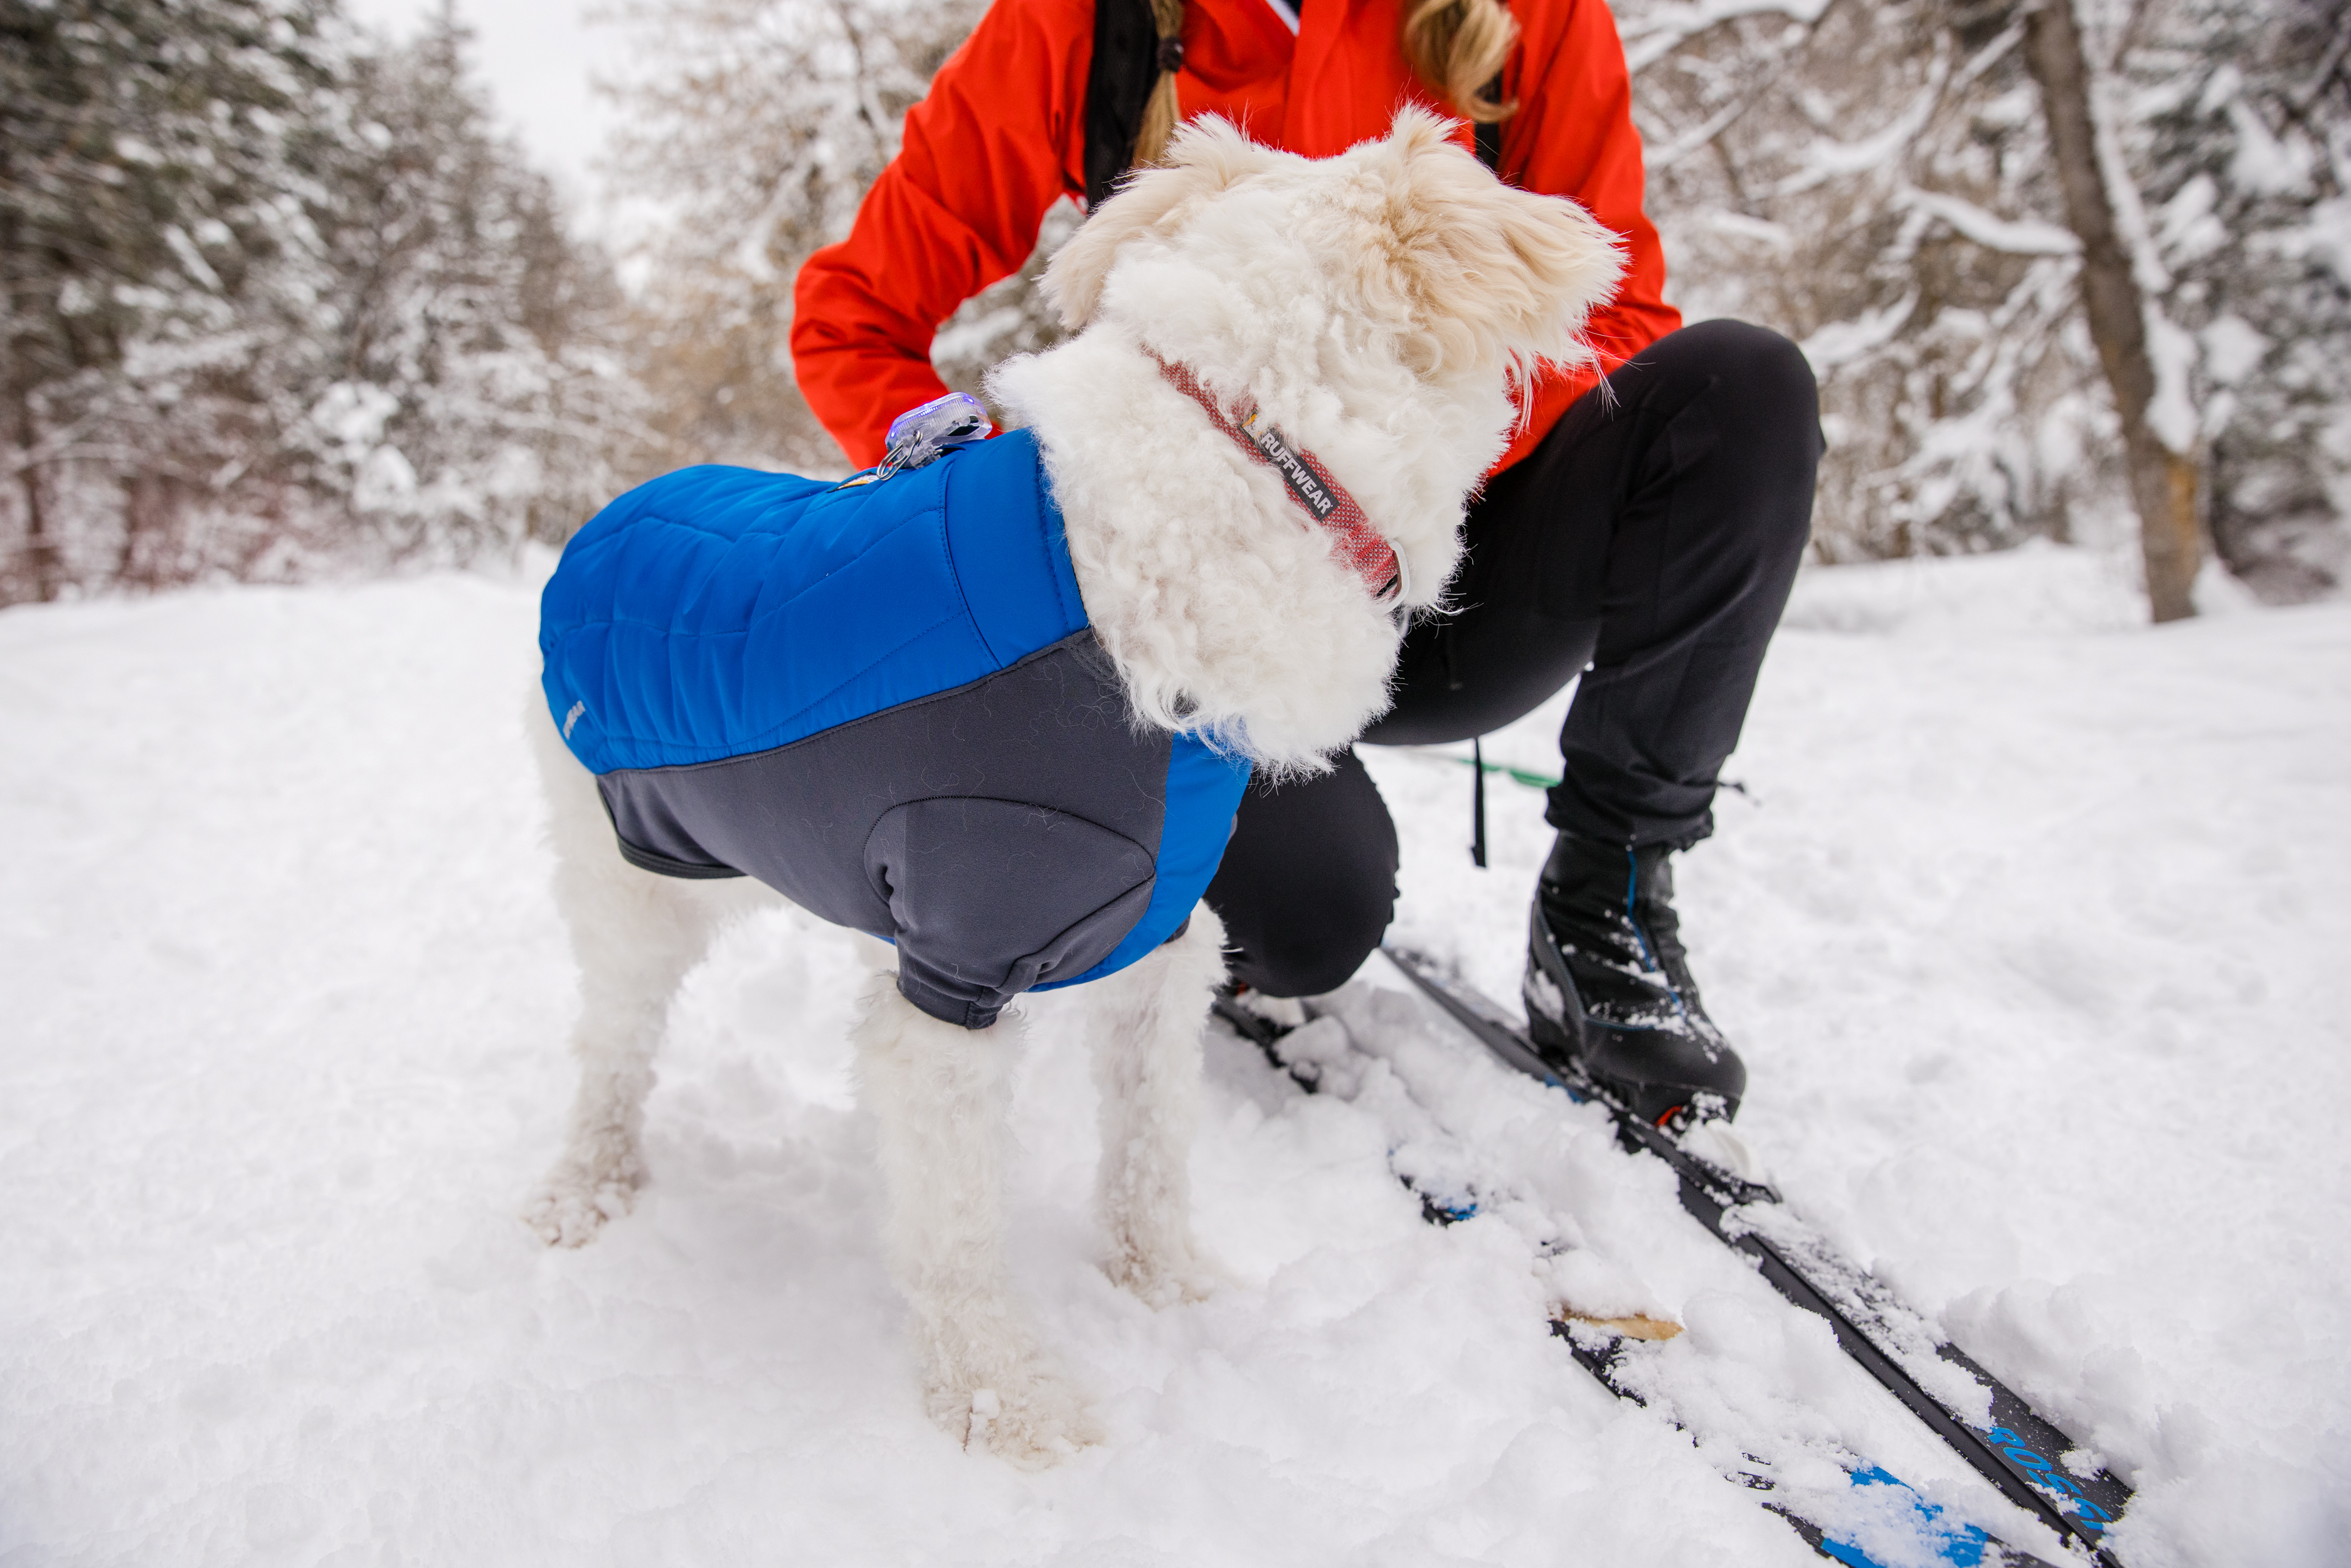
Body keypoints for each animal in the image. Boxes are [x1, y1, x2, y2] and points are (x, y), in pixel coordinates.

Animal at [519, 113, 1617, 1476]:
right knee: (610, 1053)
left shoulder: (1159, 940)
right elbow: (955, 1234)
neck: (1236, 459)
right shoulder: (948, 985)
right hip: (633, 887)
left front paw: (1165, 1290)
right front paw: (1005, 1402)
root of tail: (604, 522)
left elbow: (1149, 1151)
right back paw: (586, 1186)